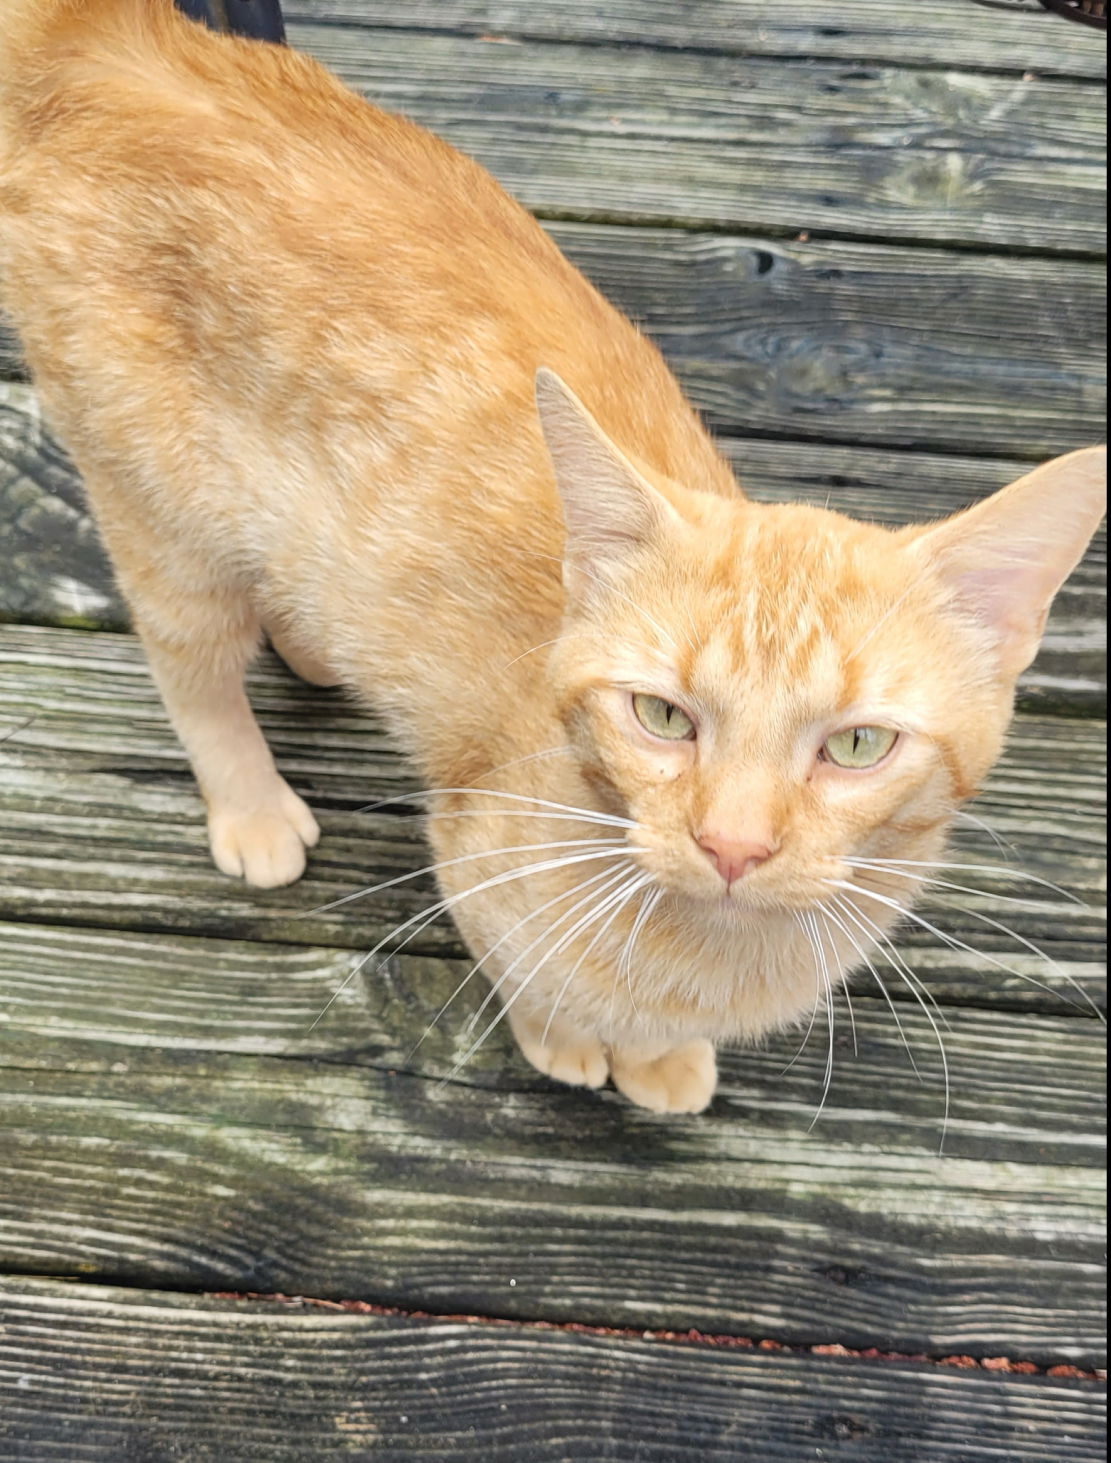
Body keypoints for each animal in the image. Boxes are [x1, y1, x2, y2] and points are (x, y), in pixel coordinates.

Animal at [0, 0, 1106, 1106]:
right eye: (661, 716)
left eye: (859, 744)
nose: (733, 845)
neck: (705, 955)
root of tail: (110, 32)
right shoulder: (466, 854)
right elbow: (524, 969)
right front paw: (565, 1035)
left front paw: (656, 1053)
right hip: (157, 511)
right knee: (192, 666)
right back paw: (252, 804)